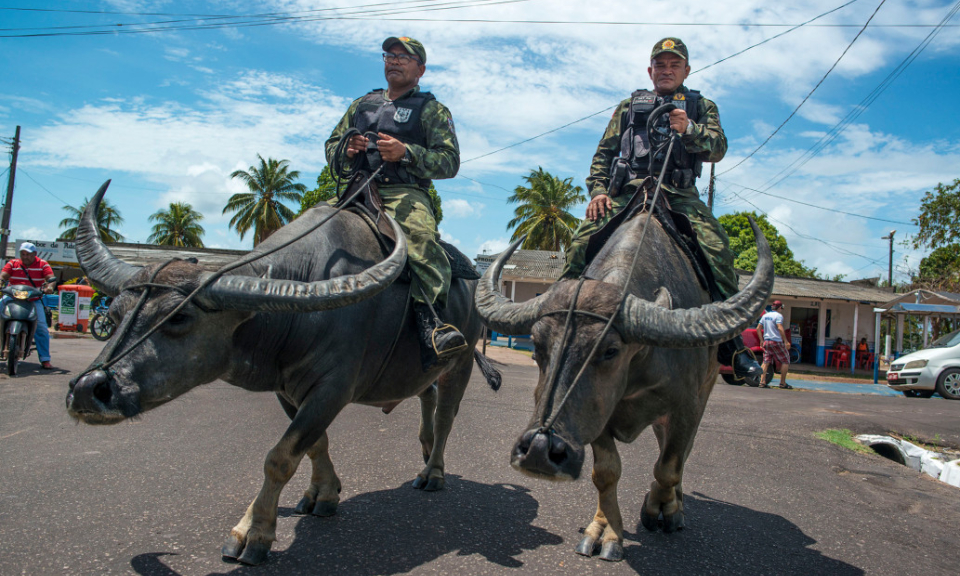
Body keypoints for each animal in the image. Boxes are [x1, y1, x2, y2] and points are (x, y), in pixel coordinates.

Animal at [64, 181, 498, 568]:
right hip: (425, 368)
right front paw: (323, 494)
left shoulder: (332, 389)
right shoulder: (287, 389)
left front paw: (251, 534)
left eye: (180, 317)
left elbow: (280, 457)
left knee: (445, 416)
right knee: (426, 395)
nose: (88, 389)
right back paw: (424, 448)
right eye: (114, 315)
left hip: (460, 361)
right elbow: (315, 443)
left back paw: (433, 471)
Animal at [476, 210, 776, 560]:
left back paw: (675, 505)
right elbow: (607, 472)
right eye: (537, 345)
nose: (539, 449)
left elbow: (669, 466)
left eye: (610, 350)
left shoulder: (687, 407)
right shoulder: (597, 415)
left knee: (679, 455)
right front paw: (604, 532)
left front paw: (661, 509)